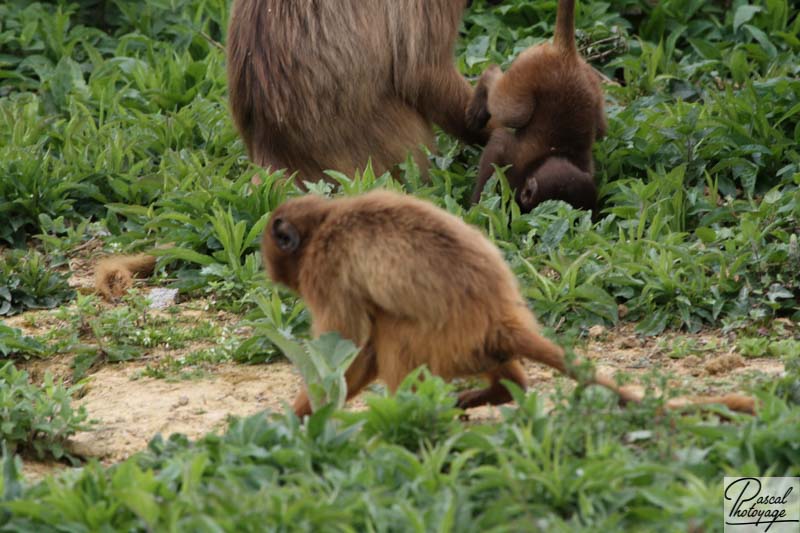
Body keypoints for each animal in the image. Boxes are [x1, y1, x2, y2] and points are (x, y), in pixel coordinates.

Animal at [262, 190, 756, 416]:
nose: (270, 273)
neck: (326, 220)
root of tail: (497, 316)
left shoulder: (324, 272)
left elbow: (351, 348)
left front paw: (306, 415)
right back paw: (503, 389)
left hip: (444, 343)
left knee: (392, 331)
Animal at [466, 0, 604, 214]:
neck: (557, 154)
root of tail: (565, 55)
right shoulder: (515, 164)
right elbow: (498, 145)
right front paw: (476, 210)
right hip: (529, 68)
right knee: (513, 112)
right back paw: (488, 77)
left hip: (591, 84)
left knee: (602, 128)